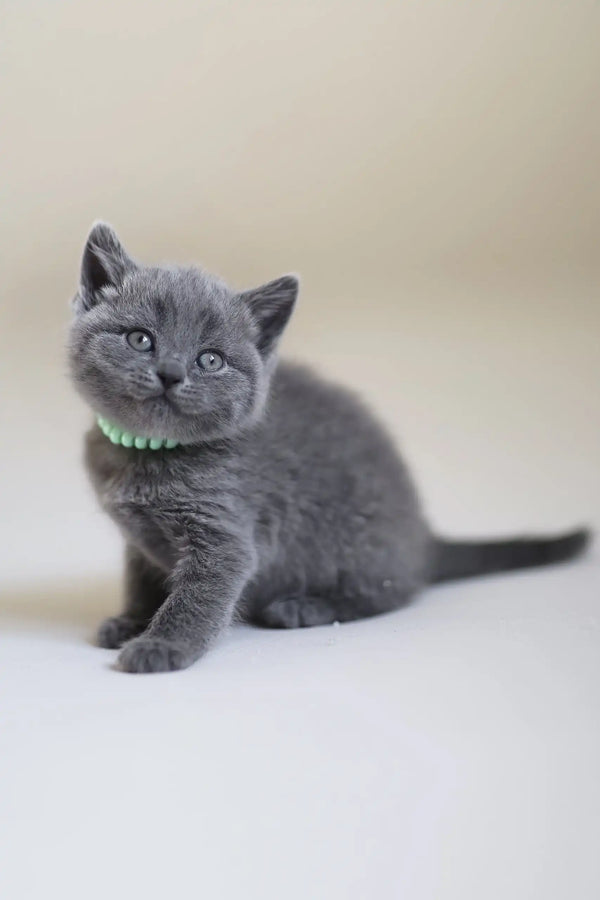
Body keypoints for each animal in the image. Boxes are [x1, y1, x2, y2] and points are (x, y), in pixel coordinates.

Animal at [69, 225, 592, 676]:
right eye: (140, 339)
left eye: (210, 360)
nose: (172, 372)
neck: (146, 453)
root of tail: (423, 538)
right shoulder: (138, 541)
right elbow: (142, 581)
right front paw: (133, 621)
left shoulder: (225, 535)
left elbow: (196, 598)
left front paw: (162, 644)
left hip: (358, 547)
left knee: (393, 593)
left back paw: (305, 606)